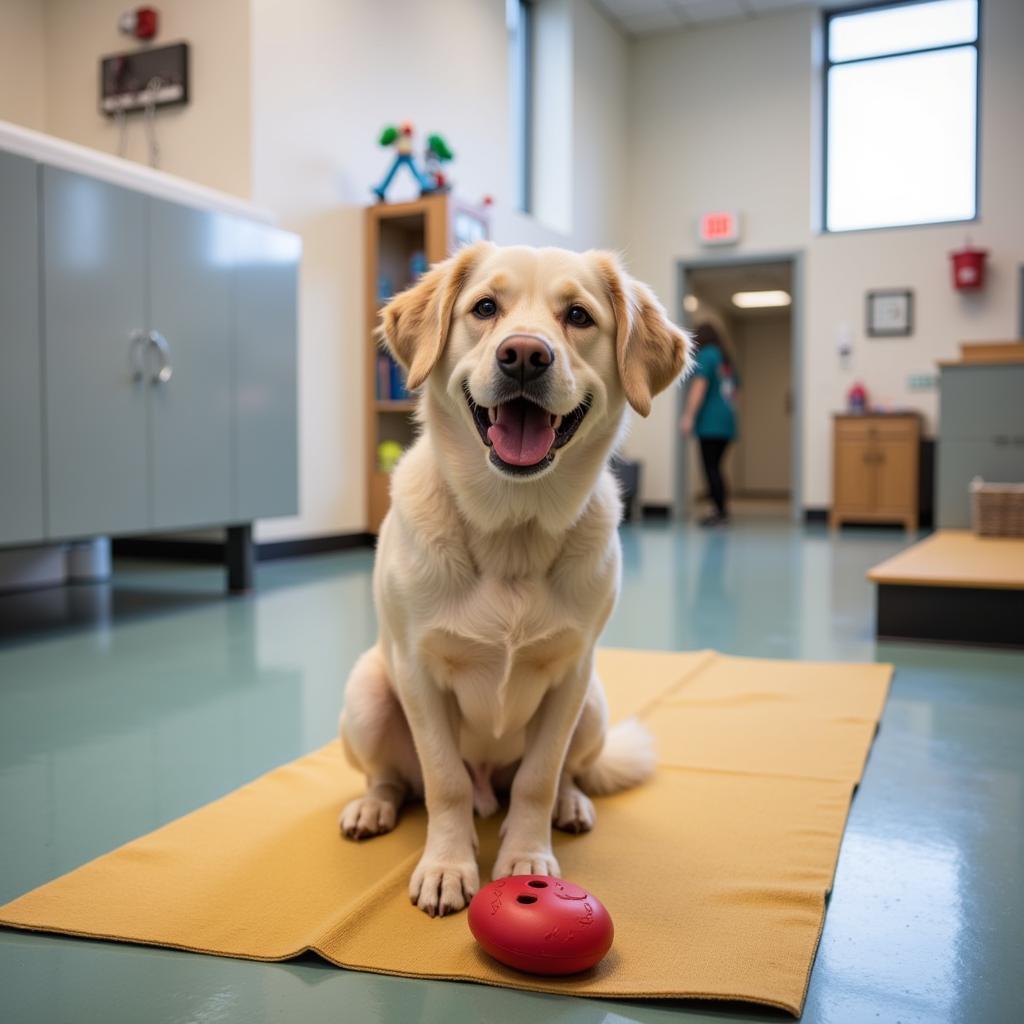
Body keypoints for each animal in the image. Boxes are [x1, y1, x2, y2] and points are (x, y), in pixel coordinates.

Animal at [337, 243, 688, 917]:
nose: (524, 354)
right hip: (368, 694)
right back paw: (373, 807)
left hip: (593, 704)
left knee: (562, 774)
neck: (511, 529)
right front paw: (447, 866)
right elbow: (443, 780)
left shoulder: (570, 675)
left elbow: (538, 778)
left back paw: (571, 804)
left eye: (578, 316)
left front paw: (527, 856)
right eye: (484, 308)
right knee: (397, 778)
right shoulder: (417, 673)